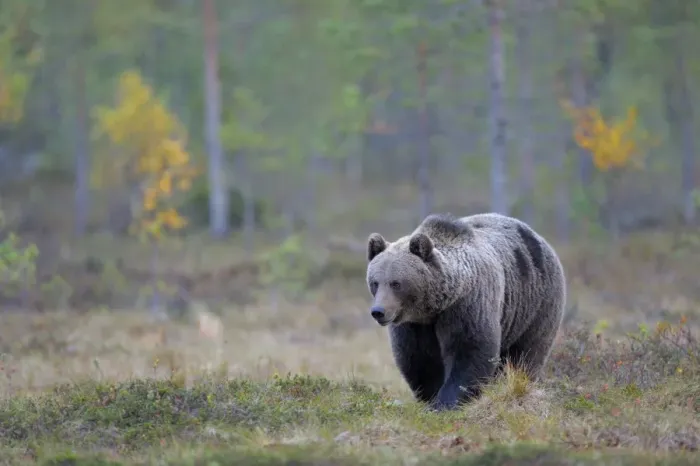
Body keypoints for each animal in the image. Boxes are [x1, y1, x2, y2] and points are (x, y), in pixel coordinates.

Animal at [365, 212, 566, 411]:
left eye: (396, 283)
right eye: (375, 282)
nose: (378, 311)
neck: (434, 307)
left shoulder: (467, 306)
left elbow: (469, 350)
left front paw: (446, 402)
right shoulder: (413, 324)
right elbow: (418, 357)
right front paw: (431, 397)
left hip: (535, 304)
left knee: (527, 353)